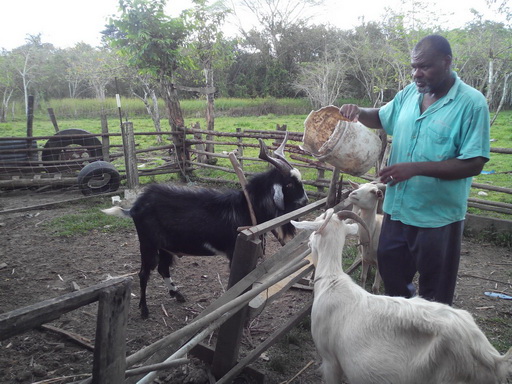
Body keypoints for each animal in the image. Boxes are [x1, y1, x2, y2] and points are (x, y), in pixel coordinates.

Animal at [102, 136, 306, 318]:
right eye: (289, 184)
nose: (305, 201)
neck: (246, 207)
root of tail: (135, 207)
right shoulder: (234, 251)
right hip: (148, 244)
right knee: (144, 273)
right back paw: (144, 310)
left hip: (166, 246)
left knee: (163, 268)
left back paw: (177, 294)